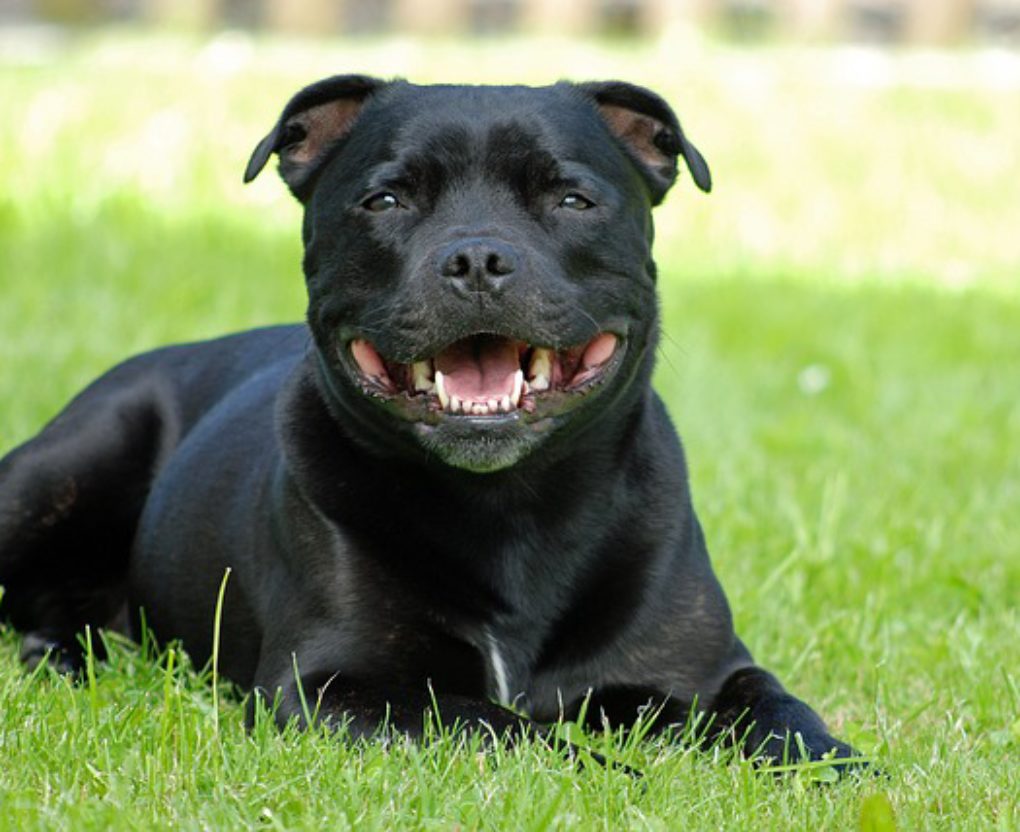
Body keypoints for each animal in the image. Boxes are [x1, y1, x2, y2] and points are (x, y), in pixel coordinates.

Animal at [0, 78, 856, 766]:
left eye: (571, 199)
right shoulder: (334, 683)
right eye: (387, 199)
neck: (512, 509)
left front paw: (845, 775)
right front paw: (619, 777)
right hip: (62, 468)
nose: (477, 259)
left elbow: (790, 721)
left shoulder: (703, 673)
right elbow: (506, 730)